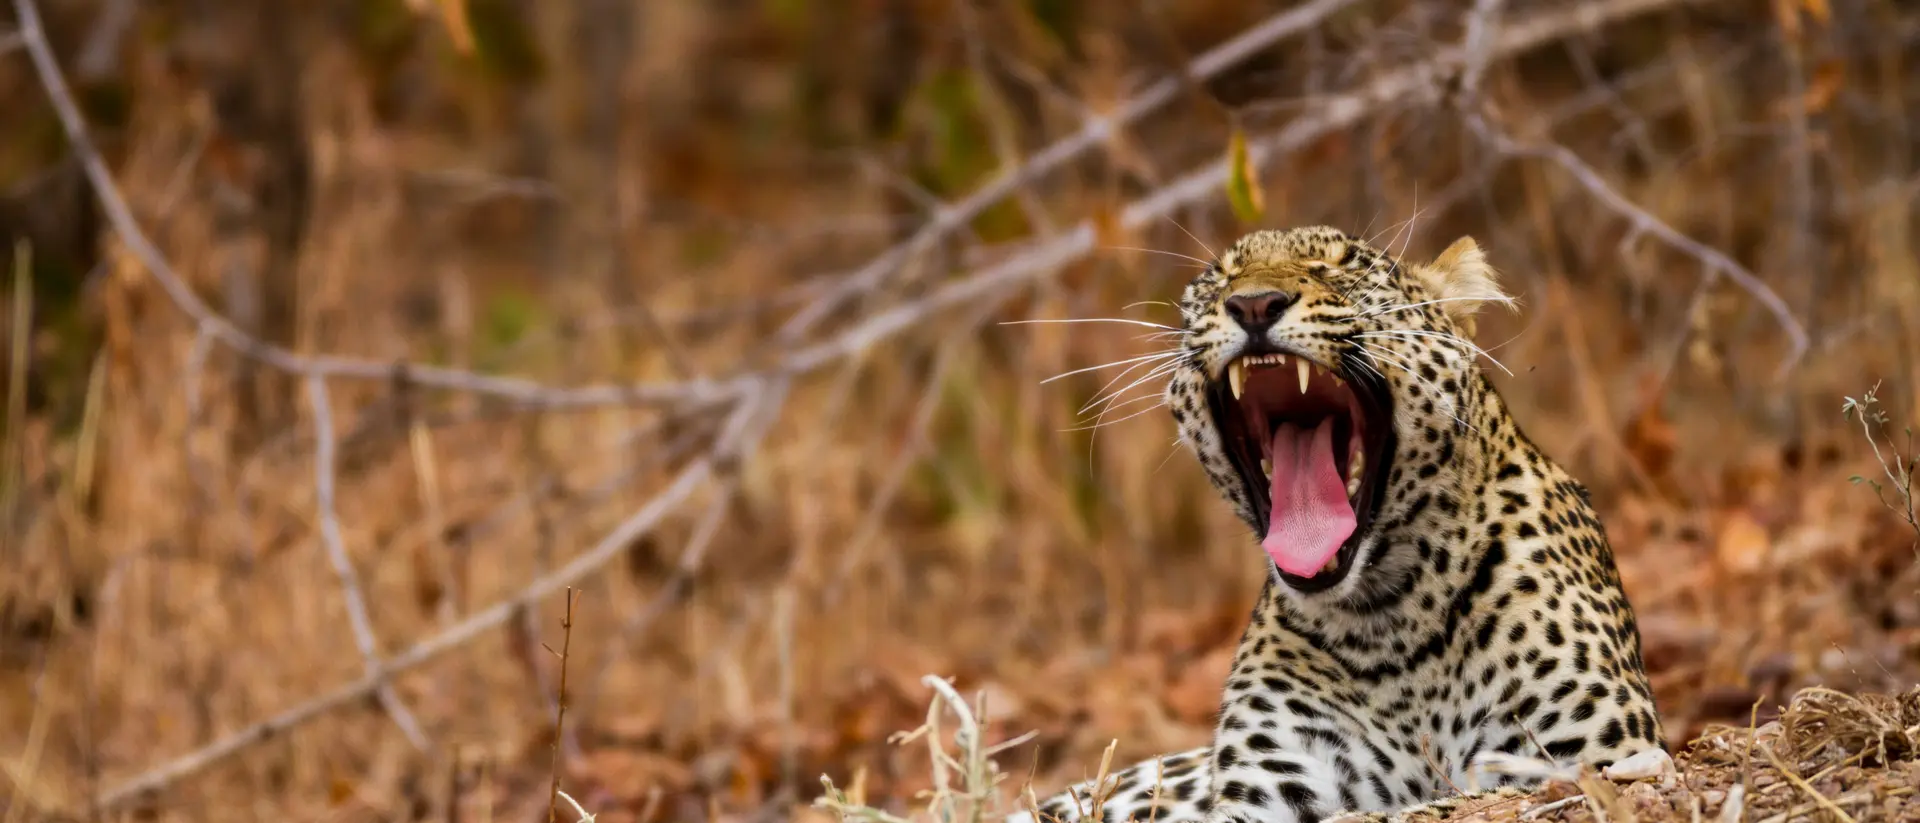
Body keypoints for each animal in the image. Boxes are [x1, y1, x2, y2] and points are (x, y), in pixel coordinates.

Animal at [1007, 226, 1665, 823]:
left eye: (1340, 266)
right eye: (1218, 279)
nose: (1254, 304)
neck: (1391, 625)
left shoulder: (1595, 753)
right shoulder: (1271, 788)